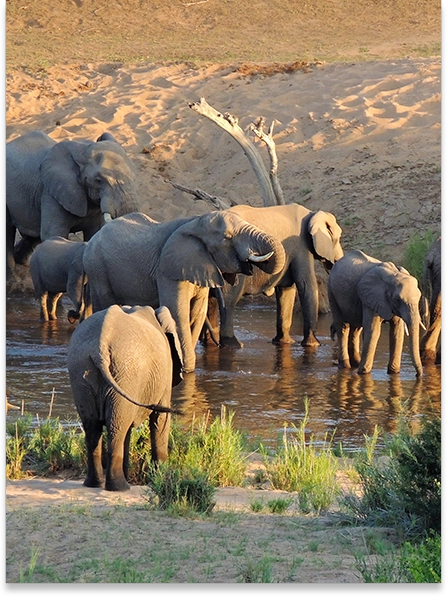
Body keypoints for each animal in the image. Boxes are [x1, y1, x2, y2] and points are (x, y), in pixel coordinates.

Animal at [5, 130, 138, 282]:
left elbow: (92, 234)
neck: (81, 150)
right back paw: (14, 280)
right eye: (98, 181)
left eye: (134, 175)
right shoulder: (51, 193)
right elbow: (53, 235)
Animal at [66, 304, 184, 492]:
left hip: (81, 370)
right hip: (126, 373)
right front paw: (160, 478)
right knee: (116, 426)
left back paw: (95, 484)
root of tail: (99, 346)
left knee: (95, 425)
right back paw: (120, 487)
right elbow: (160, 418)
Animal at [81, 207, 286, 370]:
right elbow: (177, 313)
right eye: (227, 237)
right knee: (105, 304)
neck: (194, 222)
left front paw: (186, 367)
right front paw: (185, 370)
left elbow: (196, 313)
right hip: (97, 269)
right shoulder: (168, 270)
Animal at [208, 204, 344, 350]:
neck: (312, 213)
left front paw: (284, 342)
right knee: (228, 300)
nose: (333, 335)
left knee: (212, 301)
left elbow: (286, 290)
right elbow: (306, 285)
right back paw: (233, 345)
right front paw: (313, 345)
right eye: (338, 238)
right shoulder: (301, 247)